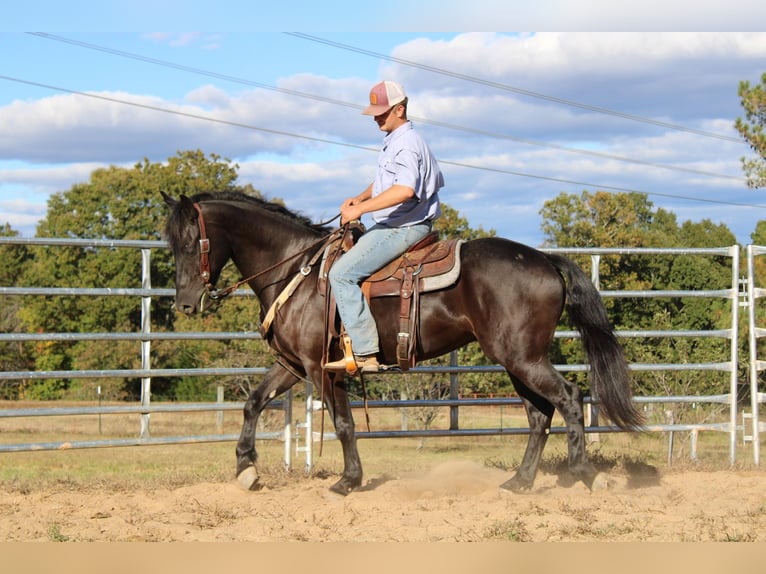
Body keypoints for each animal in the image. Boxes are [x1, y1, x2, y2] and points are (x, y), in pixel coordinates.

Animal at [165, 191, 644, 498]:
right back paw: (520, 483)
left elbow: (344, 424)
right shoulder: (293, 365)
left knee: (568, 397)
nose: (185, 304)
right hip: (517, 361)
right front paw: (246, 469)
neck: (295, 272)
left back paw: (583, 474)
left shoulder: (322, 369)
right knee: (539, 415)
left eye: (189, 243)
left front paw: (348, 481)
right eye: (171, 246)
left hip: (521, 358)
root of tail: (543, 258)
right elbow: (253, 403)